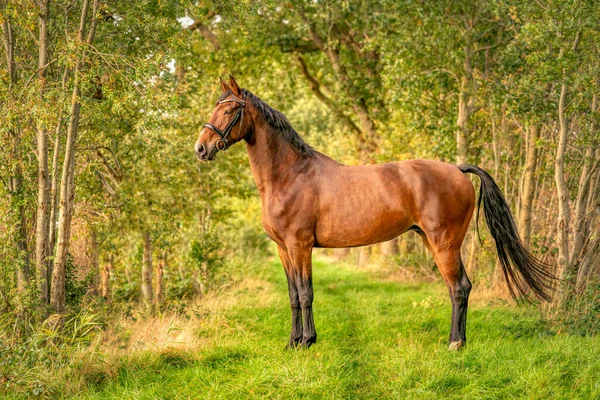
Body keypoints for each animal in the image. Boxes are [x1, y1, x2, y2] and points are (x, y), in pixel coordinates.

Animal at [195, 76, 556, 350]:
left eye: (230, 109)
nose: (201, 148)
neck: (289, 175)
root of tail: (457, 168)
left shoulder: (300, 245)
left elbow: (306, 292)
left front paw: (308, 341)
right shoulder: (284, 249)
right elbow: (293, 295)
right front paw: (293, 342)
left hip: (445, 242)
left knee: (459, 287)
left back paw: (455, 343)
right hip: (431, 241)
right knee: (460, 287)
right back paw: (459, 340)